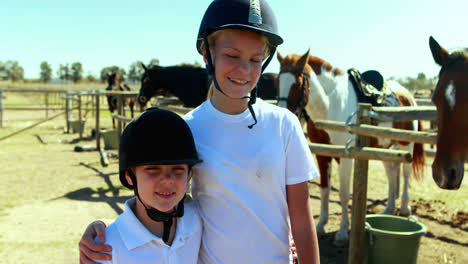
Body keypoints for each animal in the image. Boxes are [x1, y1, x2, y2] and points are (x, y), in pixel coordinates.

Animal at [278, 50, 428, 244]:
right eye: (277, 81)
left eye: (296, 84)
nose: (284, 115)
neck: (331, 105)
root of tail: (408, 95)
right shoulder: (323, 155)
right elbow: (325, 190)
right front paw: (320, 226)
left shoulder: (345, 156)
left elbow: (343, 193)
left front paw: (342, 233)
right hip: (385, 149)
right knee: (392, 172)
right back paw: (388, 209)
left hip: (406, 145)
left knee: (405, 173)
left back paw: (404, 208)